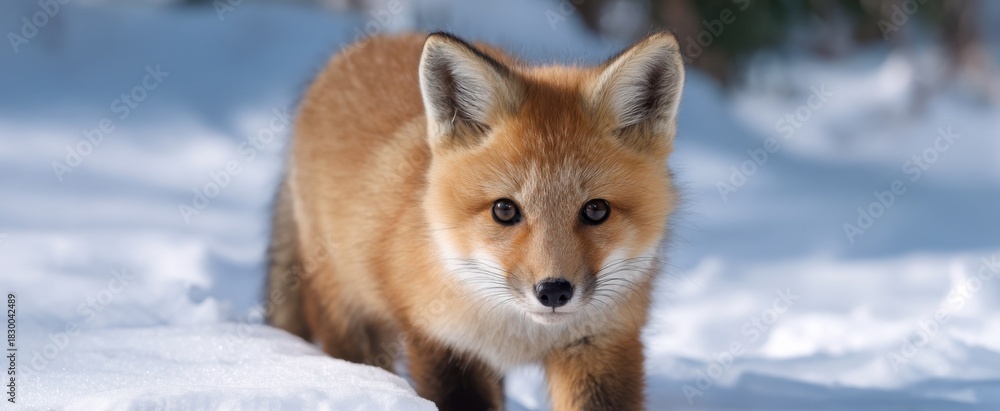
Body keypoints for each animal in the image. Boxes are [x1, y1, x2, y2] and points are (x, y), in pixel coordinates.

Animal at [266, 31, 684, 410]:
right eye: (505, 210)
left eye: (596, 210)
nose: (553, 292)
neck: (522, 335)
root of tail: (365, 44)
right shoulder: (445, 343)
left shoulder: (602, 345)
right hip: (348, 310)